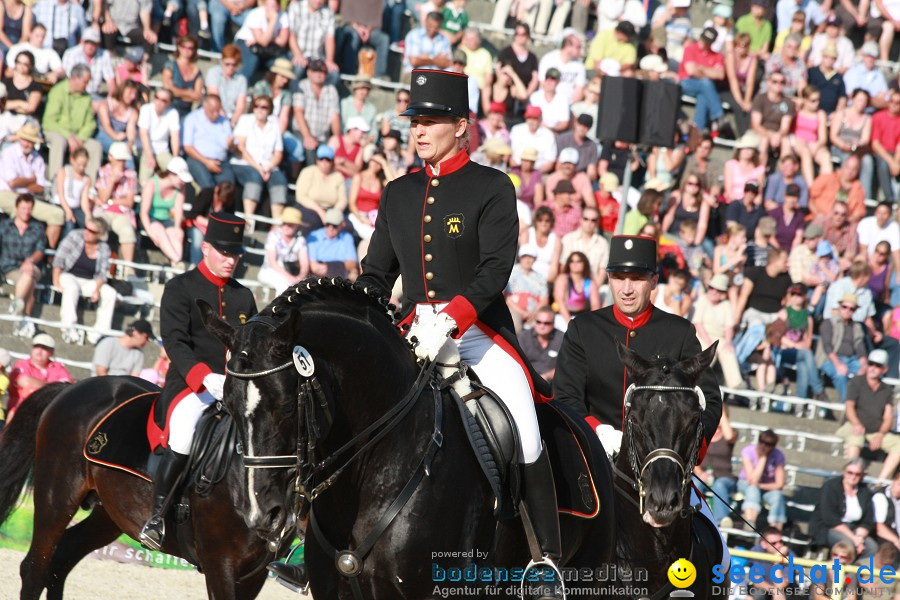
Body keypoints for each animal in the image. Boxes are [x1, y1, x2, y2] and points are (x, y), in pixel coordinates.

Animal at [0, 378, 280, 596]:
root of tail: (75, 385)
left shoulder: (255, 572)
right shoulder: (220, 562)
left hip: (111, 514)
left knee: (61, 559)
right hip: (56, 497)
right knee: (35, 568)